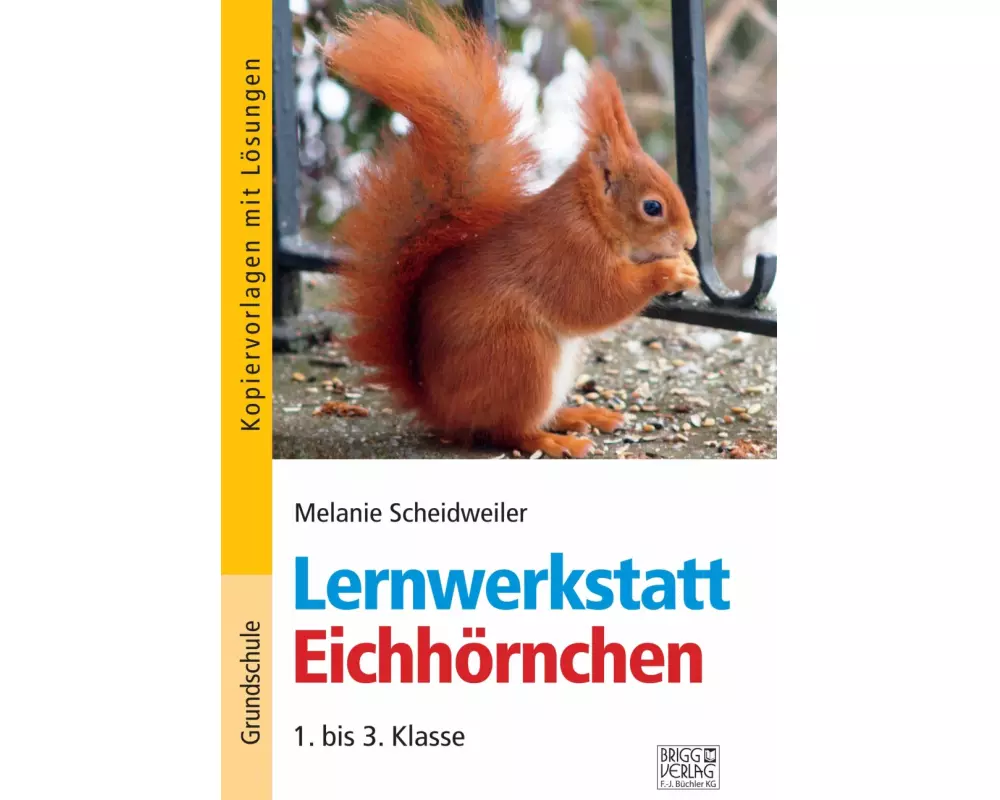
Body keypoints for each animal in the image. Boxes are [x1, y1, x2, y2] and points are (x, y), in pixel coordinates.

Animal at [326, 7, 699, 458]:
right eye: (652, 207)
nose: (691, 241)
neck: (590, 215)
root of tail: (442, 408)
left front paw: (686, 265)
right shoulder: (567, 254)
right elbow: (598, 301)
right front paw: (670, 272)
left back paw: (580, 415)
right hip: (521, 358)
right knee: (509, 431)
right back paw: (554, 441)